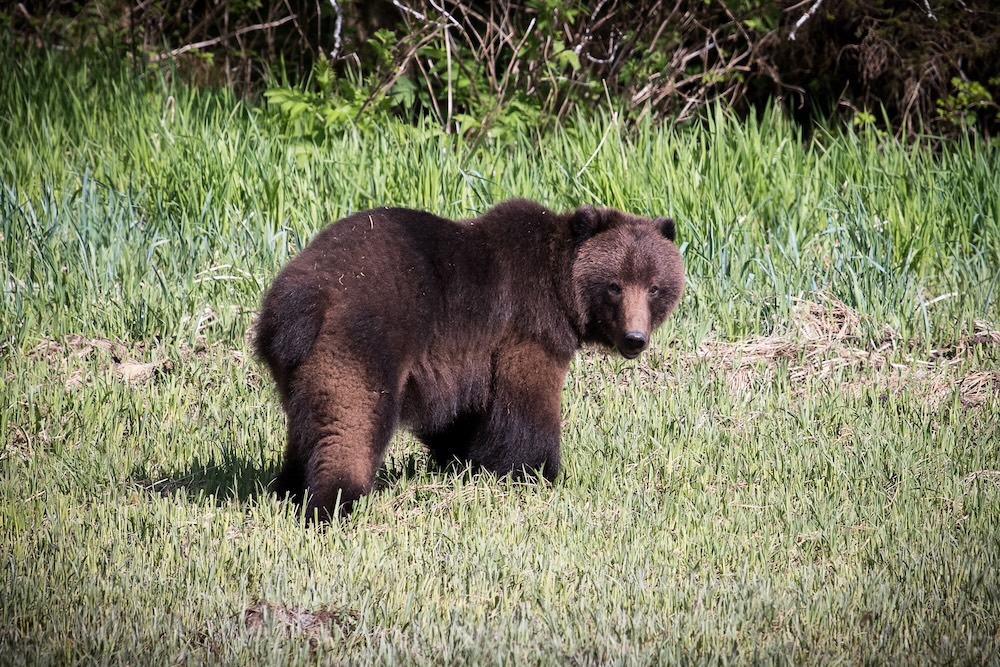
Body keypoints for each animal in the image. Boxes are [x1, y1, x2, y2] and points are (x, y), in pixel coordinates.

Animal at [254, 199, 684, 520]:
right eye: (614, 286)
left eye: (654, 287)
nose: (635, 339)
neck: (562, 290)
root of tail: (296, 298)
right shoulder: (526, 330)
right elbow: (526, 405)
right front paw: (538, 471)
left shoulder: (463, 359)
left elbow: (461, 414)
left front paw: (466, 460)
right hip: (361, 336)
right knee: (350, 418)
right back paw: (335, 502)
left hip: (295, 363)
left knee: (306, 424)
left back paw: (288, 487)